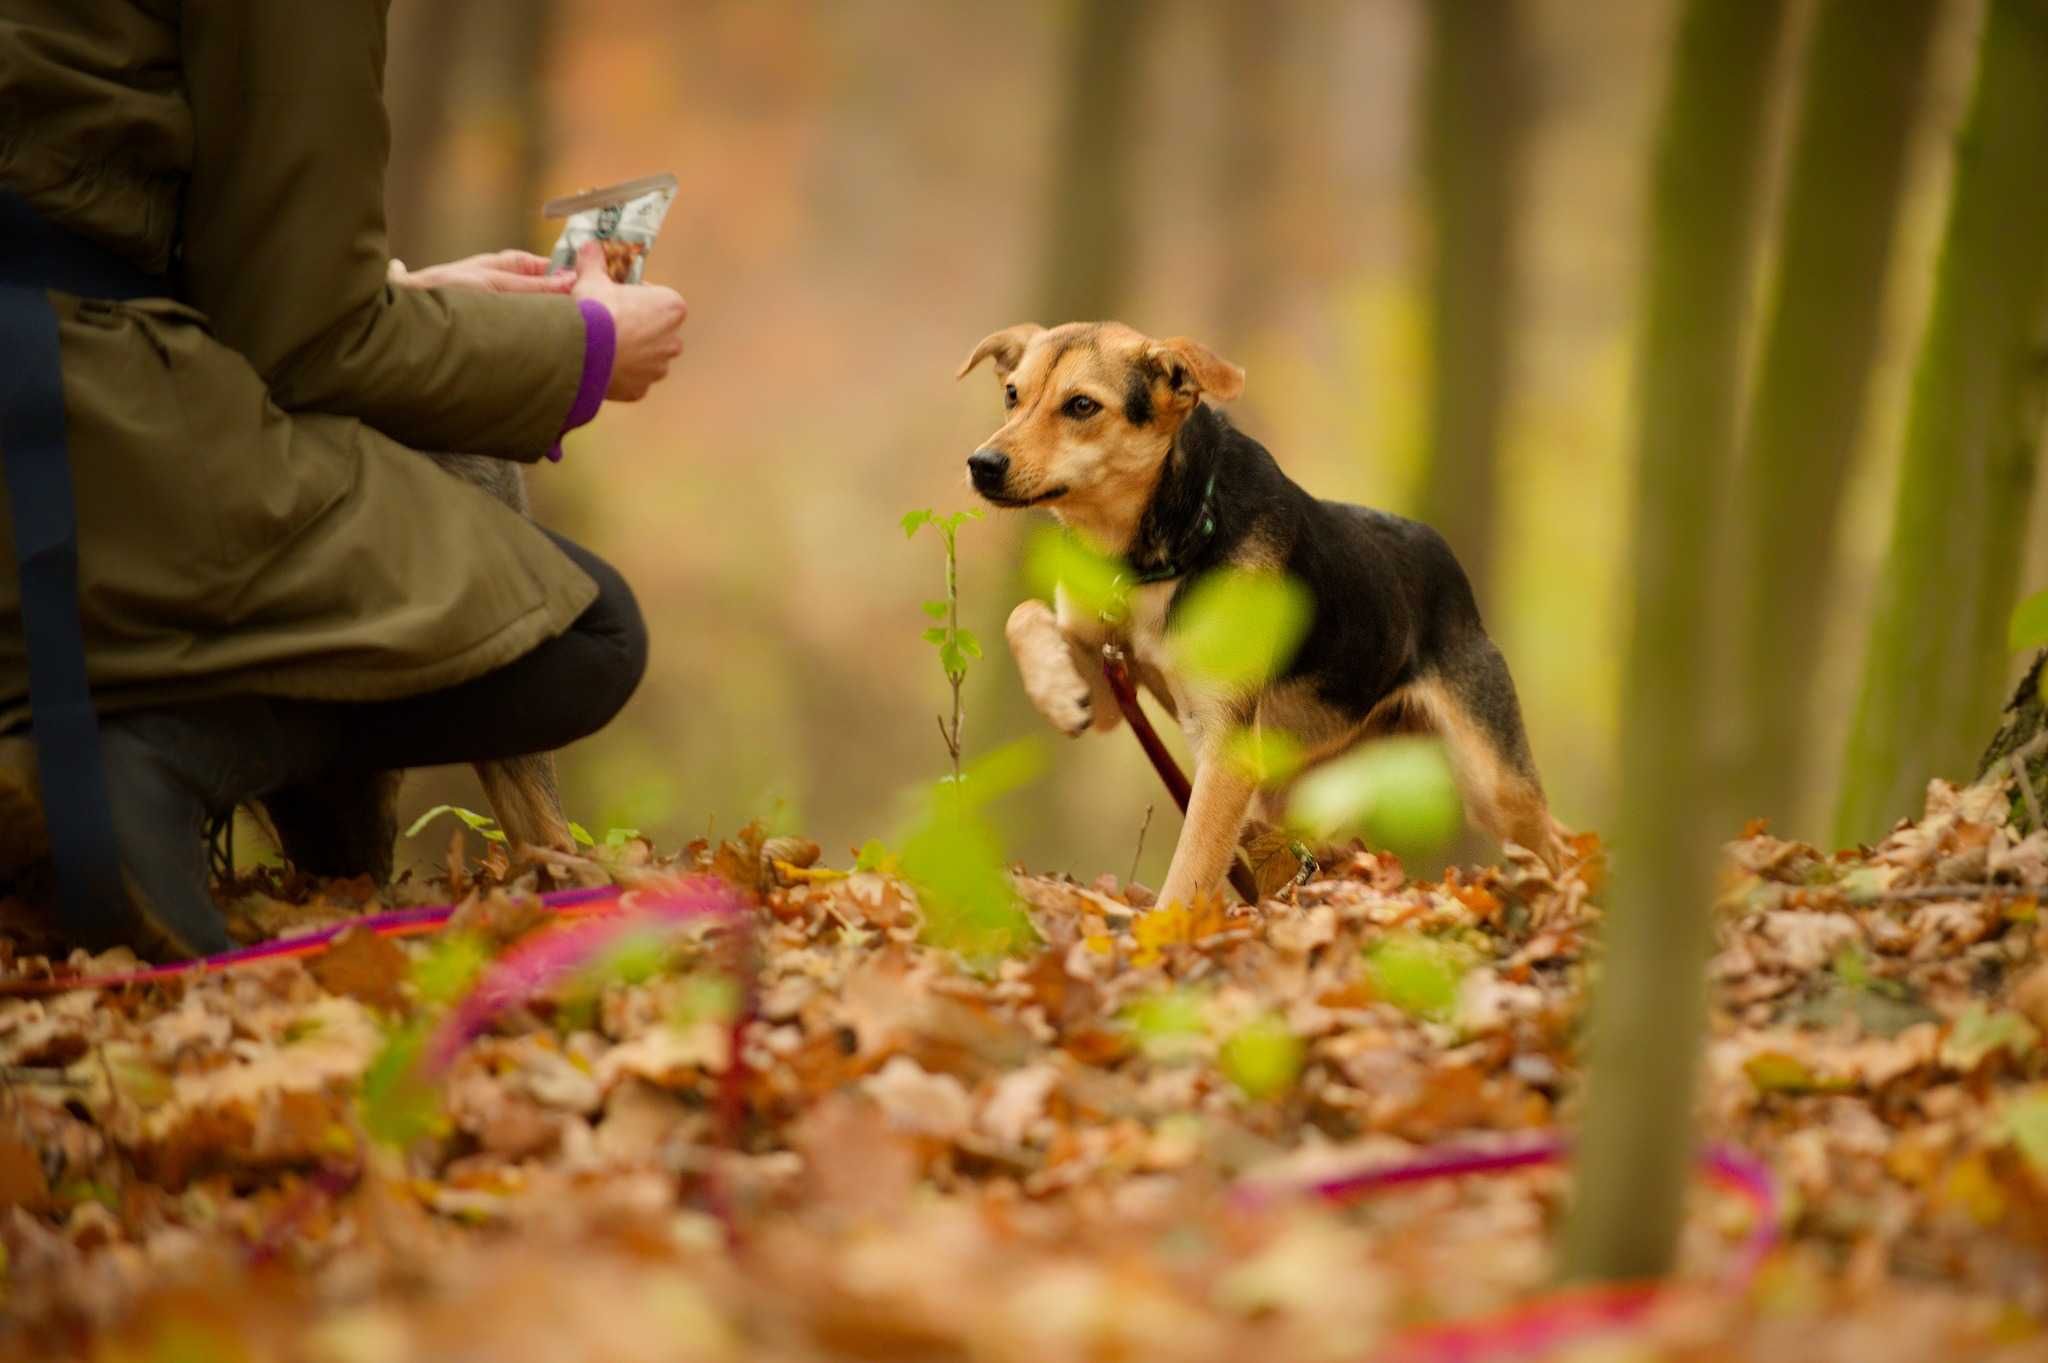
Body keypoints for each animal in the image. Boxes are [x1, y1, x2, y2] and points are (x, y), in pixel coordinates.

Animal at [958, 323, 1564, 908]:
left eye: (1082, 405)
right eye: (1012, 394)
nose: (981, 465)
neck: (1169, 545)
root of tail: (1444, 555)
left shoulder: (1226, 748)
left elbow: (1191, 868)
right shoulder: (1114, 684)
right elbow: (1024, 615)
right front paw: (1058, 694)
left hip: (1493, 780)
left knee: (1551, 838)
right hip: (1303, 787)